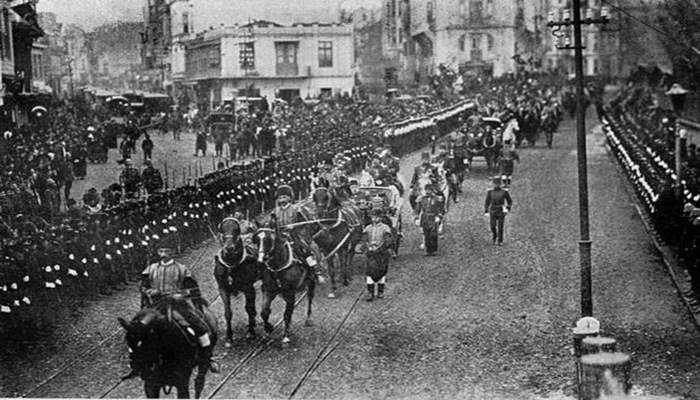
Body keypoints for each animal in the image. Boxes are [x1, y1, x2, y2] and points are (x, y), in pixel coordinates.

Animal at [213, 217, 262, 346]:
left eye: (237, 230)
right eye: (222, 230)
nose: (229, 248)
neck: (231, 266)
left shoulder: (248, 288)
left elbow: (249, 309)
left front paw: (251, 332)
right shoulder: (223, 289)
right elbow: (228, 313)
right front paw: (229, 336)